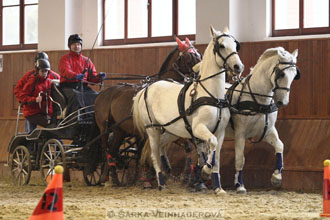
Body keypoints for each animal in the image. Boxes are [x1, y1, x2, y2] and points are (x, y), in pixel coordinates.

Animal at [94, 37, 202, 184]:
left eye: (198, 54)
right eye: (189, 56)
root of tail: (101, 95)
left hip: (119, 130)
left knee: (112, 150)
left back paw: (114, 175)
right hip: (104, 129)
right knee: (106, 150)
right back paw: (108, 177)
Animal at [133, 26, 244, 194]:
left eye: (235, 45)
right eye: (221, 46)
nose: (238, 67)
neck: (213, 96)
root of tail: (147, 88)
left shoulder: (220, 132)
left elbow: (216, 156)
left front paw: (218, 187)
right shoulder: (199, 129)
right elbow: (210, 145)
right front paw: (205, 171)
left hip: (170, 131)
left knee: (161, 146)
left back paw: (166, 170)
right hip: (152, 129)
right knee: (154, 155)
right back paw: (161, 183)